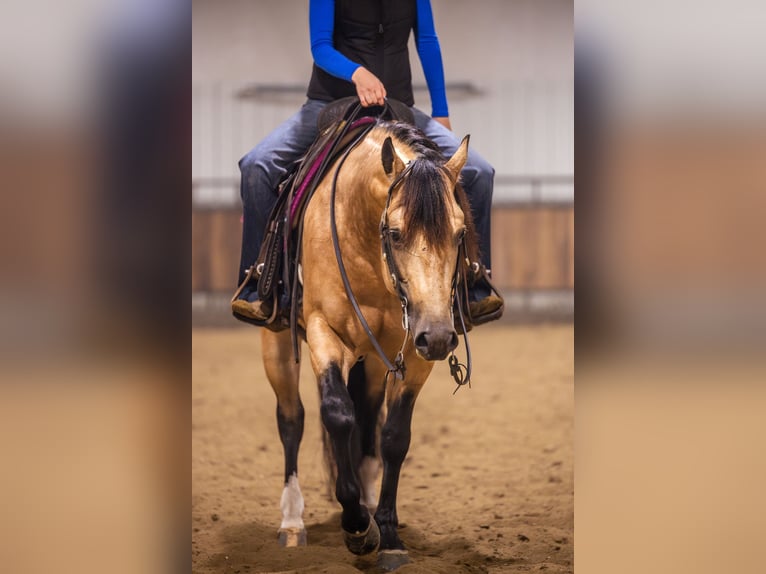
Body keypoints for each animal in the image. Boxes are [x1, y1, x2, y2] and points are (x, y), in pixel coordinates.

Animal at [260, 118, 476, 570]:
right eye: (394, 233)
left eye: (460, 231)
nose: (439, 336)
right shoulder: (325, 332)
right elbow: (336, 414)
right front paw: (358, 527)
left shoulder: (414, 353)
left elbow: (393, 436)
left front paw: (388, 533)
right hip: (275, 344)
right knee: (291, 419)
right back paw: (292, 523)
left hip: (378, 360)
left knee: (369, 415)